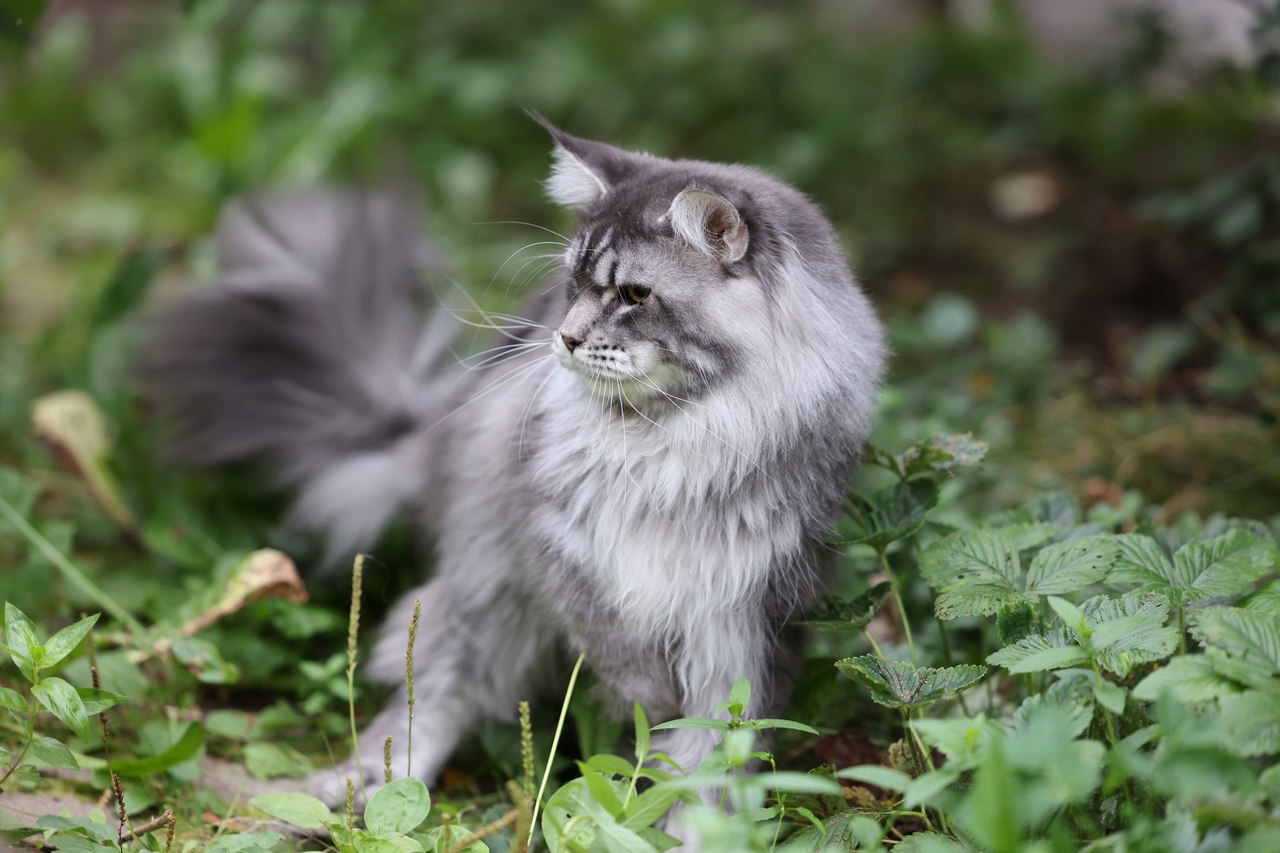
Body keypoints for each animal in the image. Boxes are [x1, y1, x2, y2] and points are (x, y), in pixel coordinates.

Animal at [137, 114, 880, 835]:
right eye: (575, 285)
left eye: (634, 294)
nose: (566, 339)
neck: (666, 439)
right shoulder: (561, 547)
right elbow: (619, 653)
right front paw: (644, 705)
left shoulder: (744, 618)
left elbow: (710, 771)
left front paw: (687, 827)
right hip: (486, 594)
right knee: (429, 697)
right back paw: (352, 799)